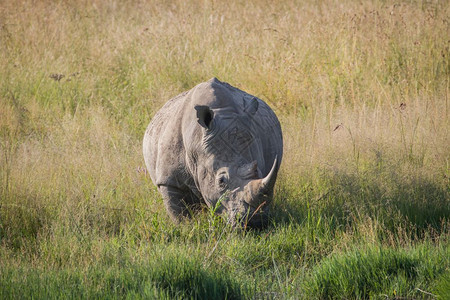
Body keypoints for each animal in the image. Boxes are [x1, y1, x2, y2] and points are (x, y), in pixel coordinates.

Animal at [142, 77, 284, 227]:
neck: (196, 142)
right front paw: (186, 227)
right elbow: (178, 212)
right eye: (221, 181)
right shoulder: (168, 180)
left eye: (260, 172)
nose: (255, 222)